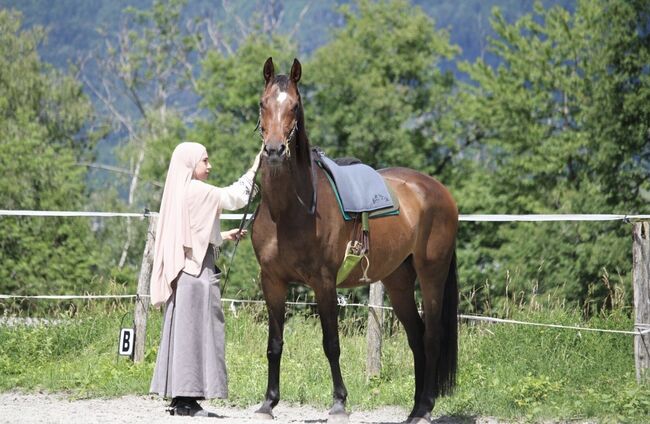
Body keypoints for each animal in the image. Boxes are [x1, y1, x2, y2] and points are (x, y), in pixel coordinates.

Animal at [251, 57, 459, 424]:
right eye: (263, 104)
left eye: (295, 106)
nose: (275, 150)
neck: (288, 210)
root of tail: (437, 190)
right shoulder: (272, 281)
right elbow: (274, 344)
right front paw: (268, 403)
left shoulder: (323, 282)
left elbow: (331, 344)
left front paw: (338, 403)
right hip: (398, 280)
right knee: (416, 336)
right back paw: (415, 408)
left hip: (432, 274)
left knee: (432, 336)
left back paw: (425, 407)